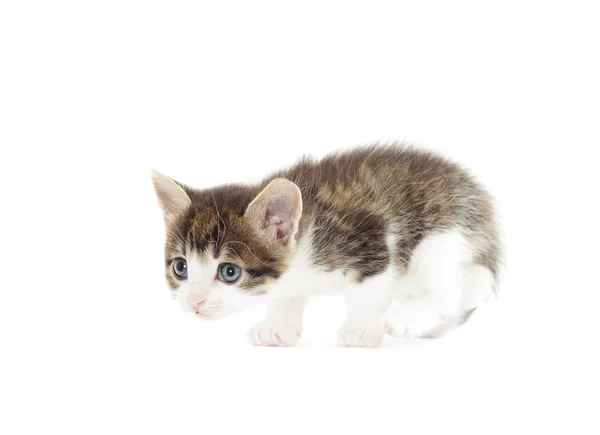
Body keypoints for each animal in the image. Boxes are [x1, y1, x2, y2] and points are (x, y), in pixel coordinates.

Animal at [151, 145, 502, 350]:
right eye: (180, 267)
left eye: (228, 272)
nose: (194, 302)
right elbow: (284, 297)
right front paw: (278, 327)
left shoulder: (366, 236)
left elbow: (367, 290)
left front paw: (360, 329)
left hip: (443, 232)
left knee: (455, 286)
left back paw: (412, 315)